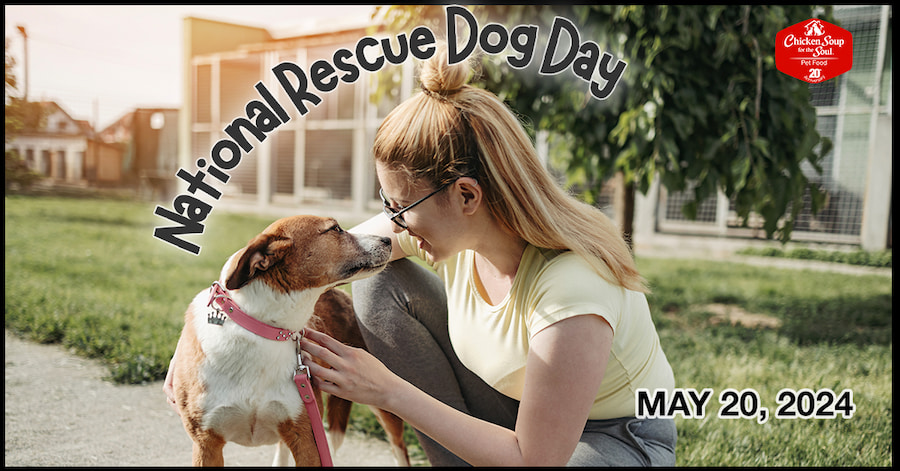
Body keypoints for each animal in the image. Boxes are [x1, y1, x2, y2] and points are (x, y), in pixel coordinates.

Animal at [167, 216, 410, 466]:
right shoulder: (206, 444)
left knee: (399, 447)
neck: (263, 329)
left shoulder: (308, 439)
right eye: (335, 229)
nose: (388, 238)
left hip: (383, 400)